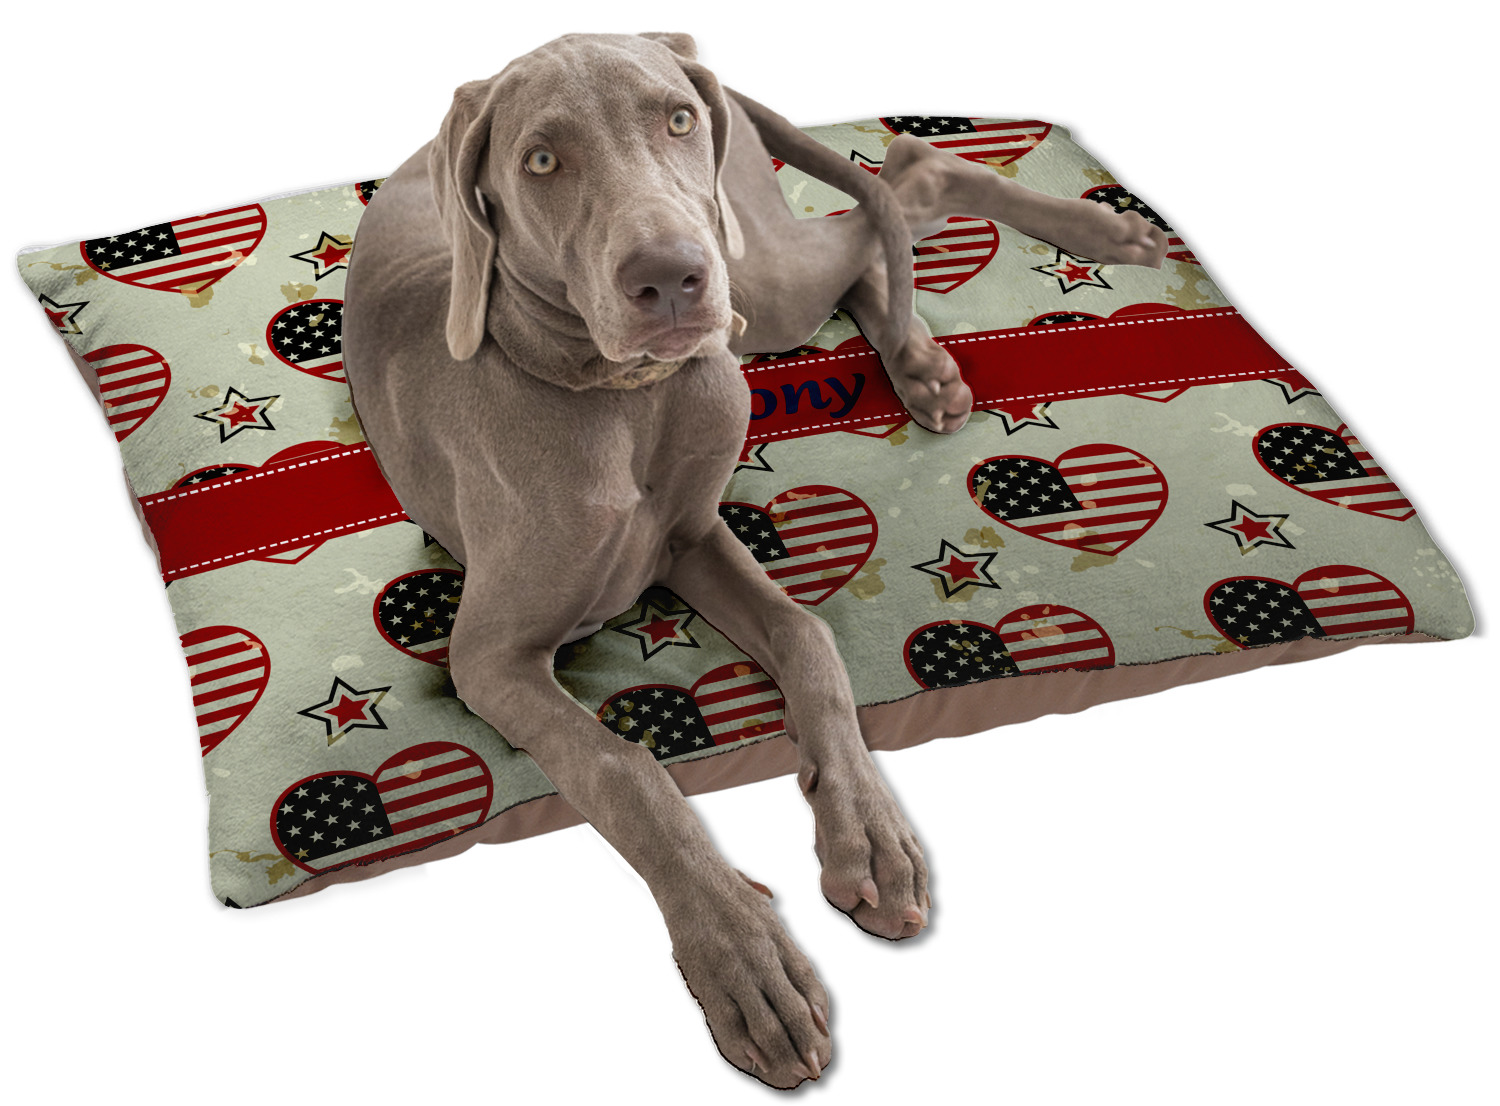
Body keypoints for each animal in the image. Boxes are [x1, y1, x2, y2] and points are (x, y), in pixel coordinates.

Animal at [342, 31, 1166, 1088]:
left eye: (675, 121)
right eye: (540, 161)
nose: (671, 279)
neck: (624, 399)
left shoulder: (696, 540)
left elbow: (807, 635)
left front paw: (870, 835)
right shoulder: (487, 657)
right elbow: (624, 771)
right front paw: (743, 960)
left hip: (756, 276)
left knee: (898, 181)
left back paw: (1094, 241)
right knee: (880, 216)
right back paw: (930, 357)